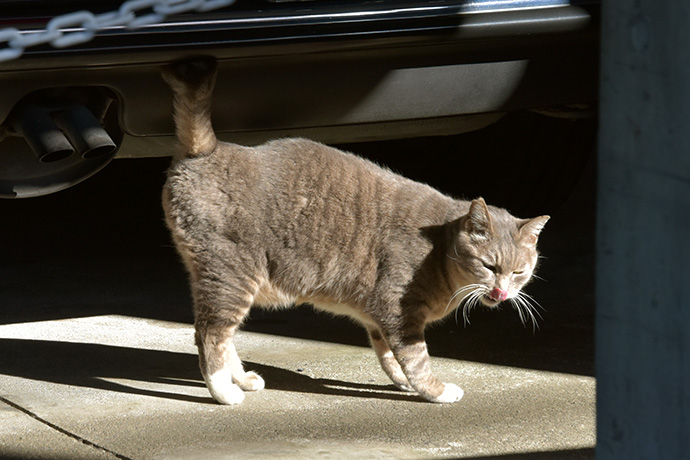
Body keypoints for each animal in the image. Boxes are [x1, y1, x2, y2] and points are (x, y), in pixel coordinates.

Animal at [161, 58, 548, 406]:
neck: (439, 249)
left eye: (519, 272)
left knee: (223, 336)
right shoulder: (399, 311)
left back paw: (241, 379)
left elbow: (389, 357)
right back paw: (225, 392)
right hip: (232, 276)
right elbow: (416, 360)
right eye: (488, 266)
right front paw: (436, 391)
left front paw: (402, 381)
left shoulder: (380, 320)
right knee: (209, 335)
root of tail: (209, 149)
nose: (501, 292)